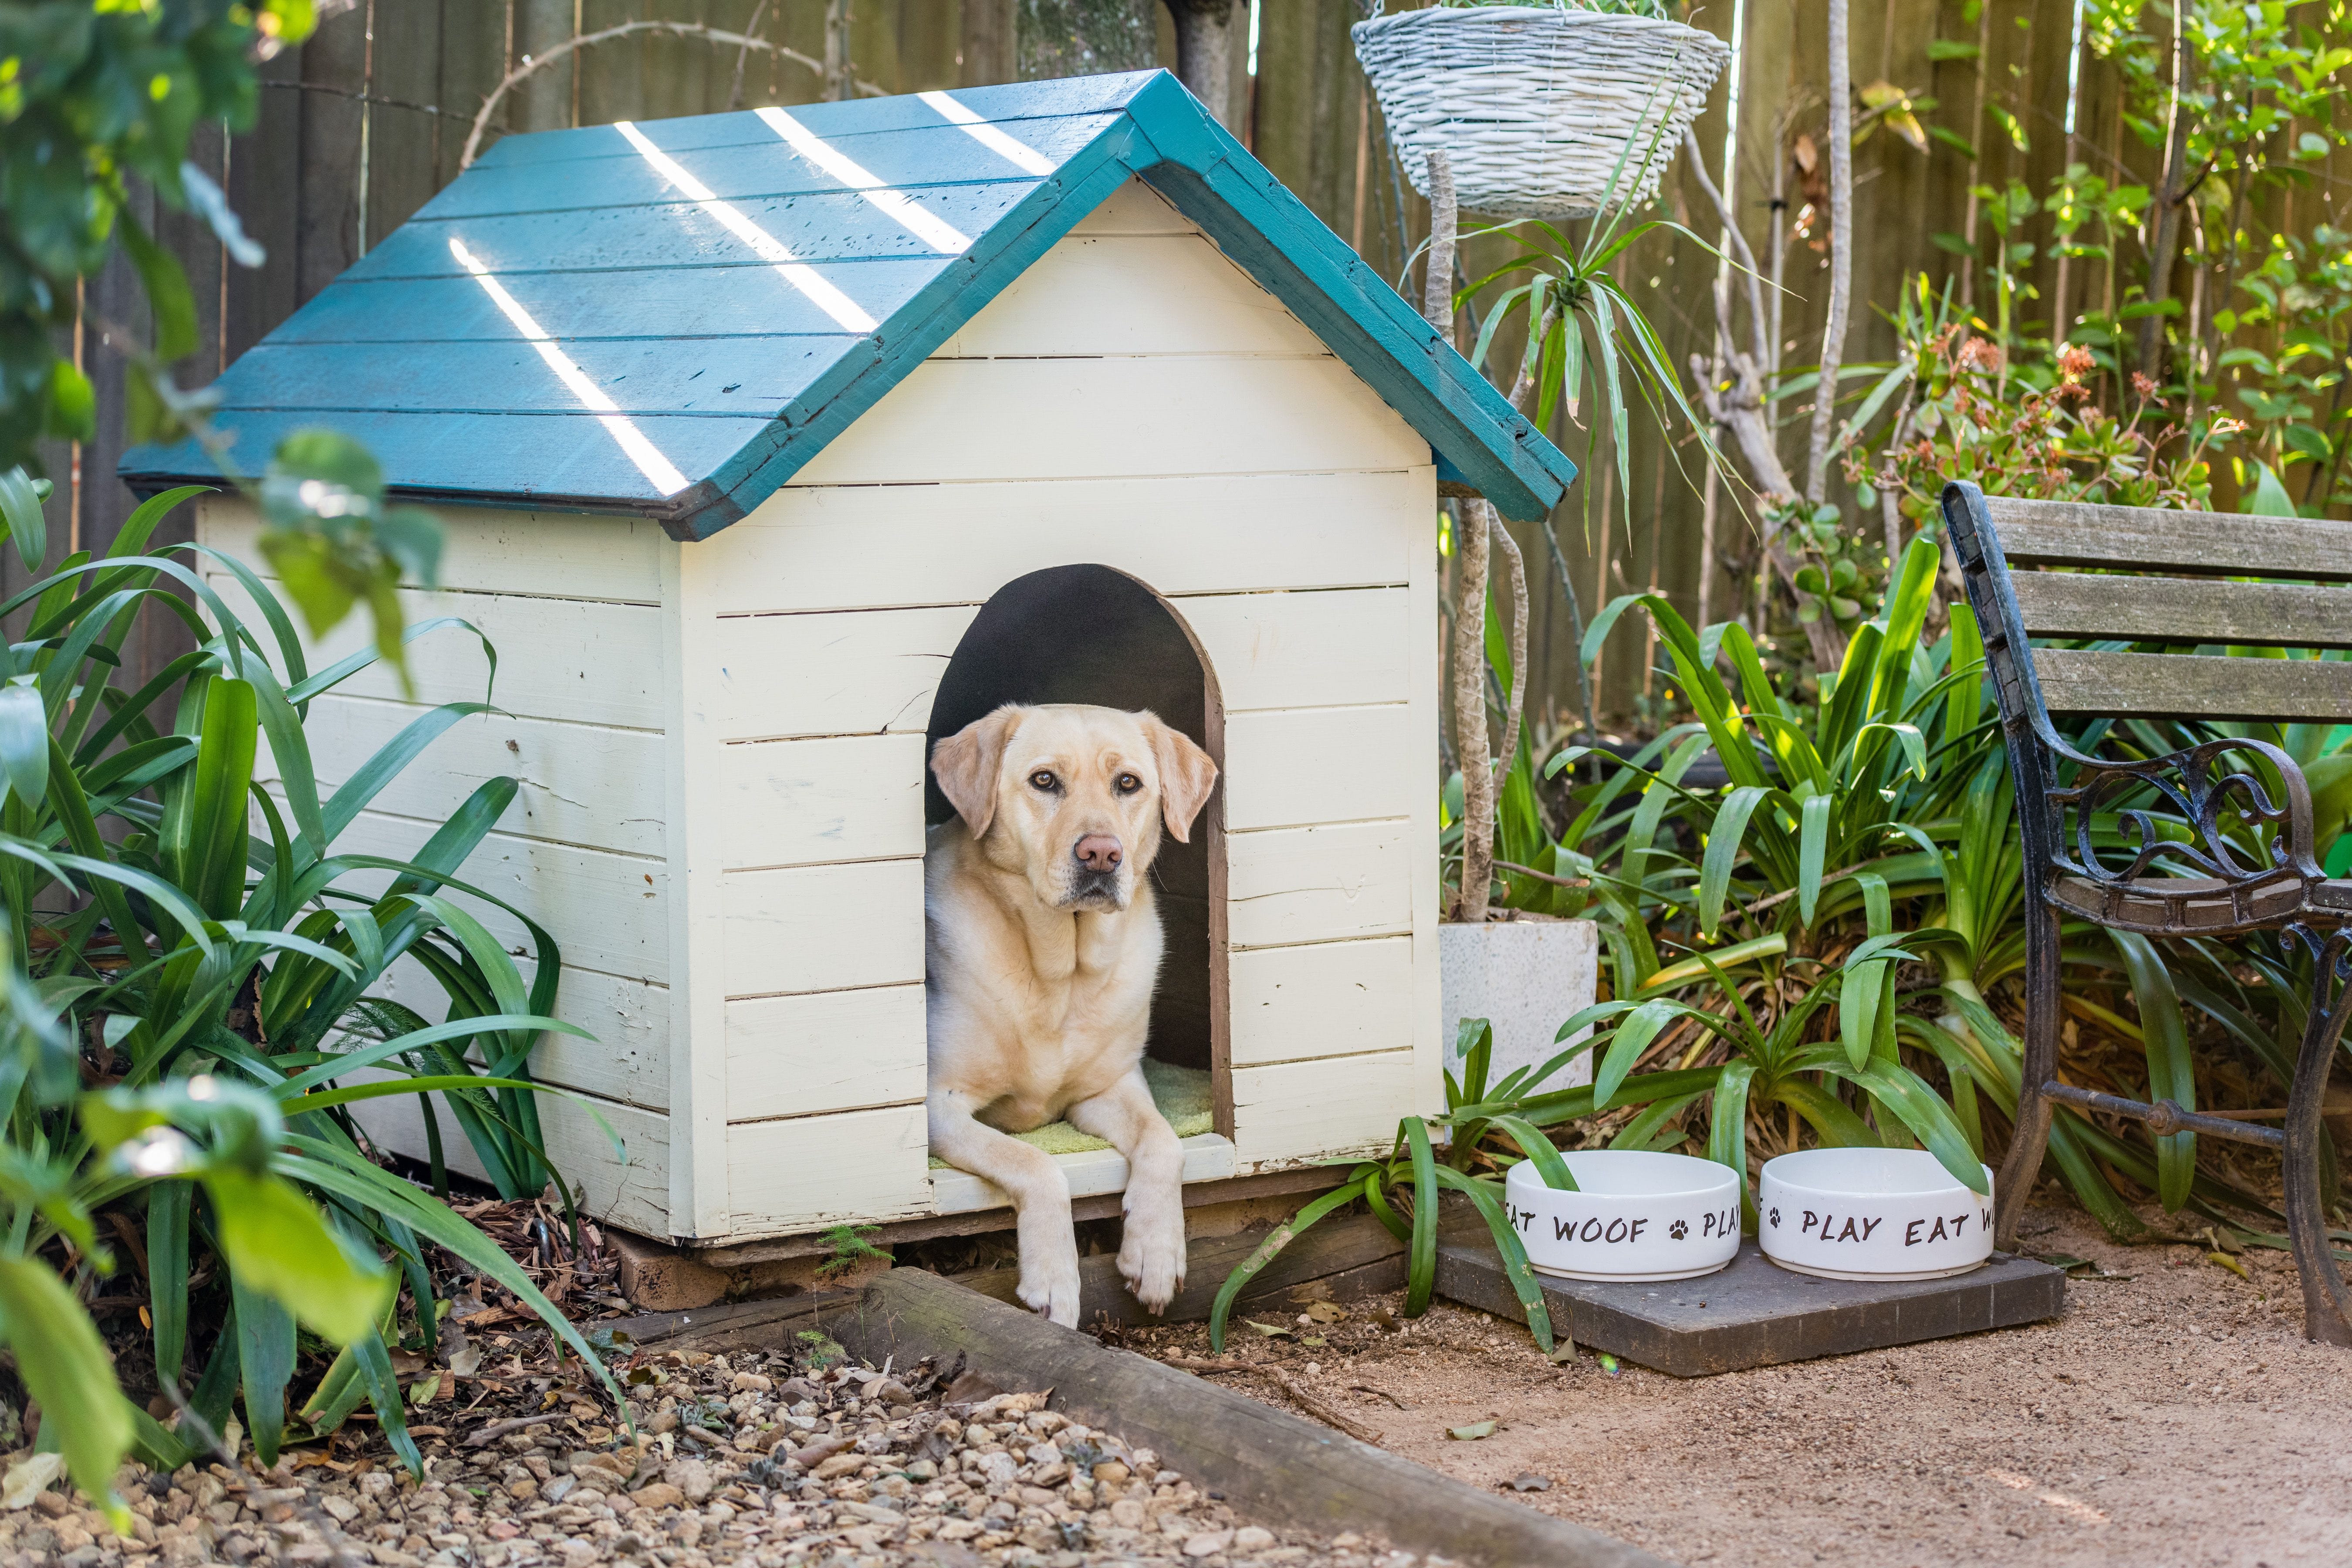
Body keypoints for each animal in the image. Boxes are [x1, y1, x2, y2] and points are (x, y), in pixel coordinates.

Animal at [917, 705, 1213, 1335]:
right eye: (1045, 780)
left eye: (1127, 783)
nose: (1102, 853)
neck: (1063, 974)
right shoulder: (938, 1105)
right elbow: (1035, 1162)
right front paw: (1054, 1280)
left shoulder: (1112, 1086)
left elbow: (1164, 1141)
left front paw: (1156, 1253)